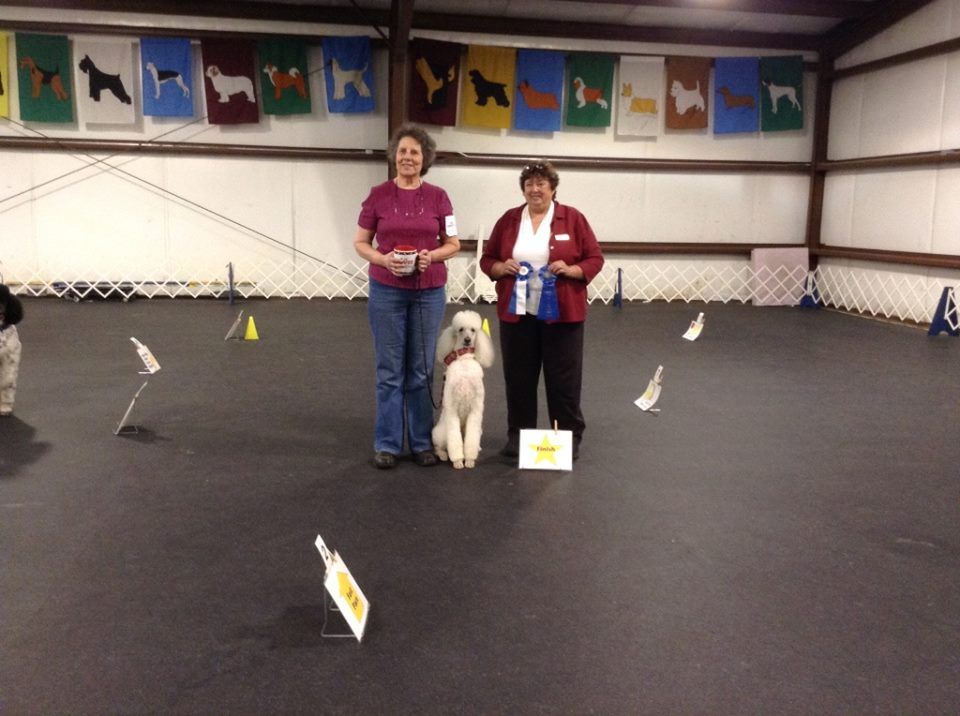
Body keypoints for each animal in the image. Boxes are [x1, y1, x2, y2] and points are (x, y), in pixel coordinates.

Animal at [432, 310, 494, 469]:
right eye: (460, 329)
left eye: (473, 330)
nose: (467, 340)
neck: (464, 361)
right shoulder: (452, 409)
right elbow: (454, 440)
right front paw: (458, 461)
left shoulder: (476, 409)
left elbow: (471, 440)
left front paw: (470, 459)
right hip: (441, 432)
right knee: (438, 446)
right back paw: (443, 455)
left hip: (476, 429)